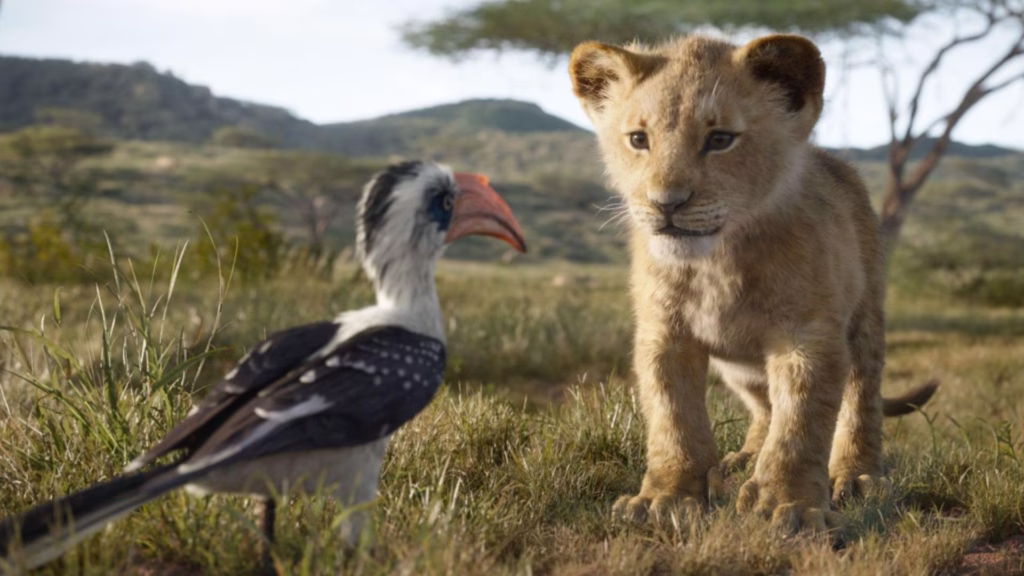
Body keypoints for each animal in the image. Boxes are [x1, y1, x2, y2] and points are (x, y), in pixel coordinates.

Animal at [568, 34, 937, 531]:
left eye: (720, 139)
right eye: (639, 140)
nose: (666, 203)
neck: (717, 262)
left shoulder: (807, 336)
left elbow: (801, 423)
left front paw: (790, 505)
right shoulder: (664, 334)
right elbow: (673, 417)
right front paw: (666, 498)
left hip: (865, 319)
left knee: (861, 397)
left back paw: (857, 475)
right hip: (739, 366)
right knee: (764, 406)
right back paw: (742, 459)